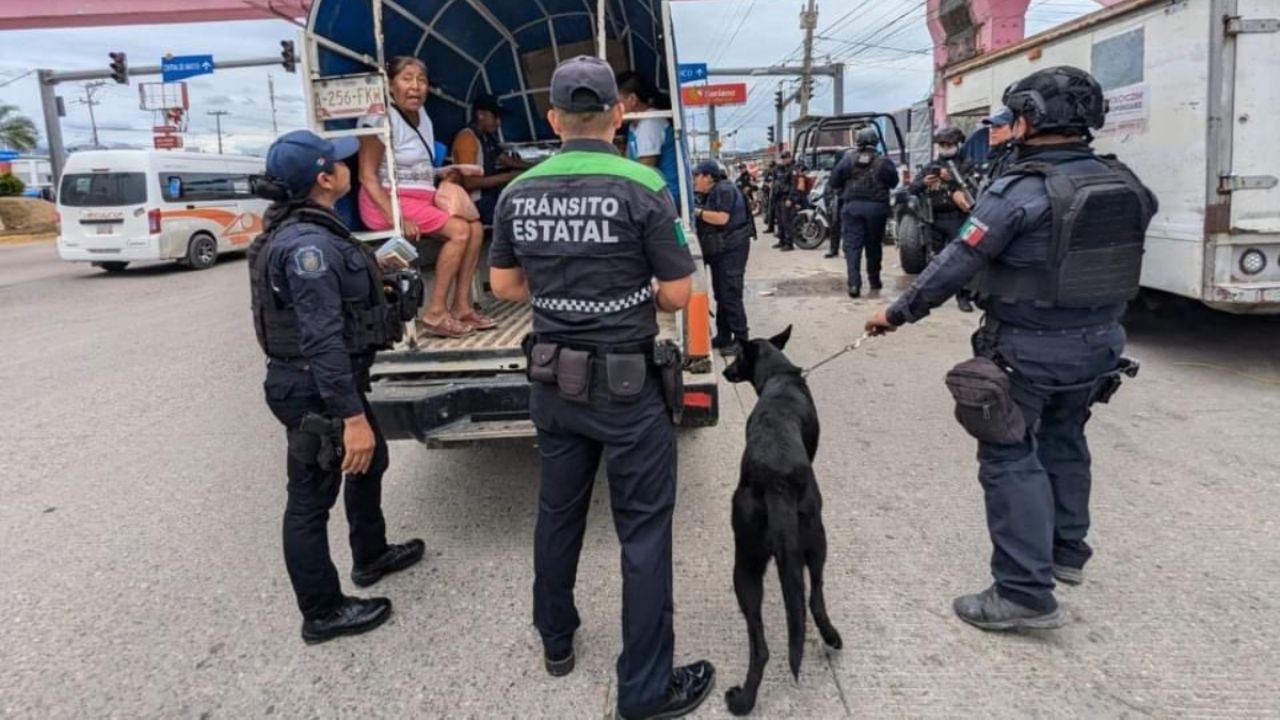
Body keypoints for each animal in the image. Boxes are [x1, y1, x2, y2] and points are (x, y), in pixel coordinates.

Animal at [721, 324, 839, 712]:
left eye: (737, 357)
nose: (725, 373)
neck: (778, 375)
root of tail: (775, 481)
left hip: (749, 564)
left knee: (761, 647)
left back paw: (745, 699)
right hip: (814, 538)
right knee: (814, 597)